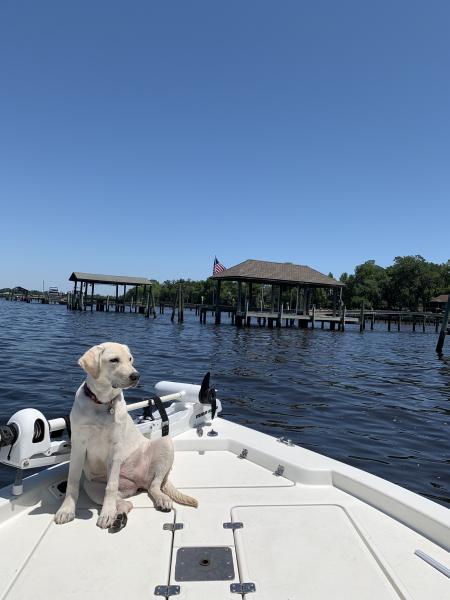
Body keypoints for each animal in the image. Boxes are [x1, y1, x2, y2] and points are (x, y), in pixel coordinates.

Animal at [54, 342, 197, 528]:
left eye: (130, 359)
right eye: (114, 360)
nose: (136, 376)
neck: (103, 403)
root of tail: (139, 483)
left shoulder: (116, 448)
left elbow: (111, 486)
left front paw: (107, 513)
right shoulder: (78, 445)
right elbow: (72, 481)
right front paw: (66, 510)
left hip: (165, 444)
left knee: (154, 486)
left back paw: (161, 500)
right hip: (91, 486)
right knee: (124, 501)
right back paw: (119, 513)